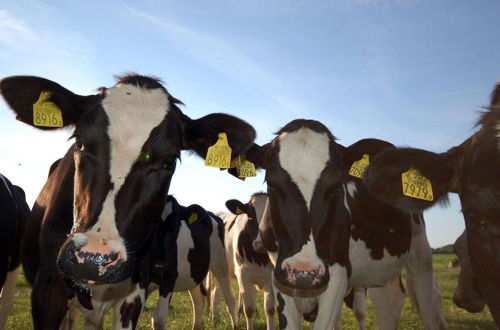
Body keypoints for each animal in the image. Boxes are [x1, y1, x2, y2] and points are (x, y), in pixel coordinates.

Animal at [148, 196, 238, 330]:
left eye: (176, 226)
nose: (160, 264)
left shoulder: (169, 276)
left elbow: (158, 320)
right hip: (193, 274)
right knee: (199, 301)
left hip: (220, 264)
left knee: (230, 299)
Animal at [242, 121, 446, 330]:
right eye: (271, 184)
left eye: (335, 187)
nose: (303, 274)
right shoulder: (279, 276)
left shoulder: (337, 275)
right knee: (389, 306)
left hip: (421, 256)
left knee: (428, 309)